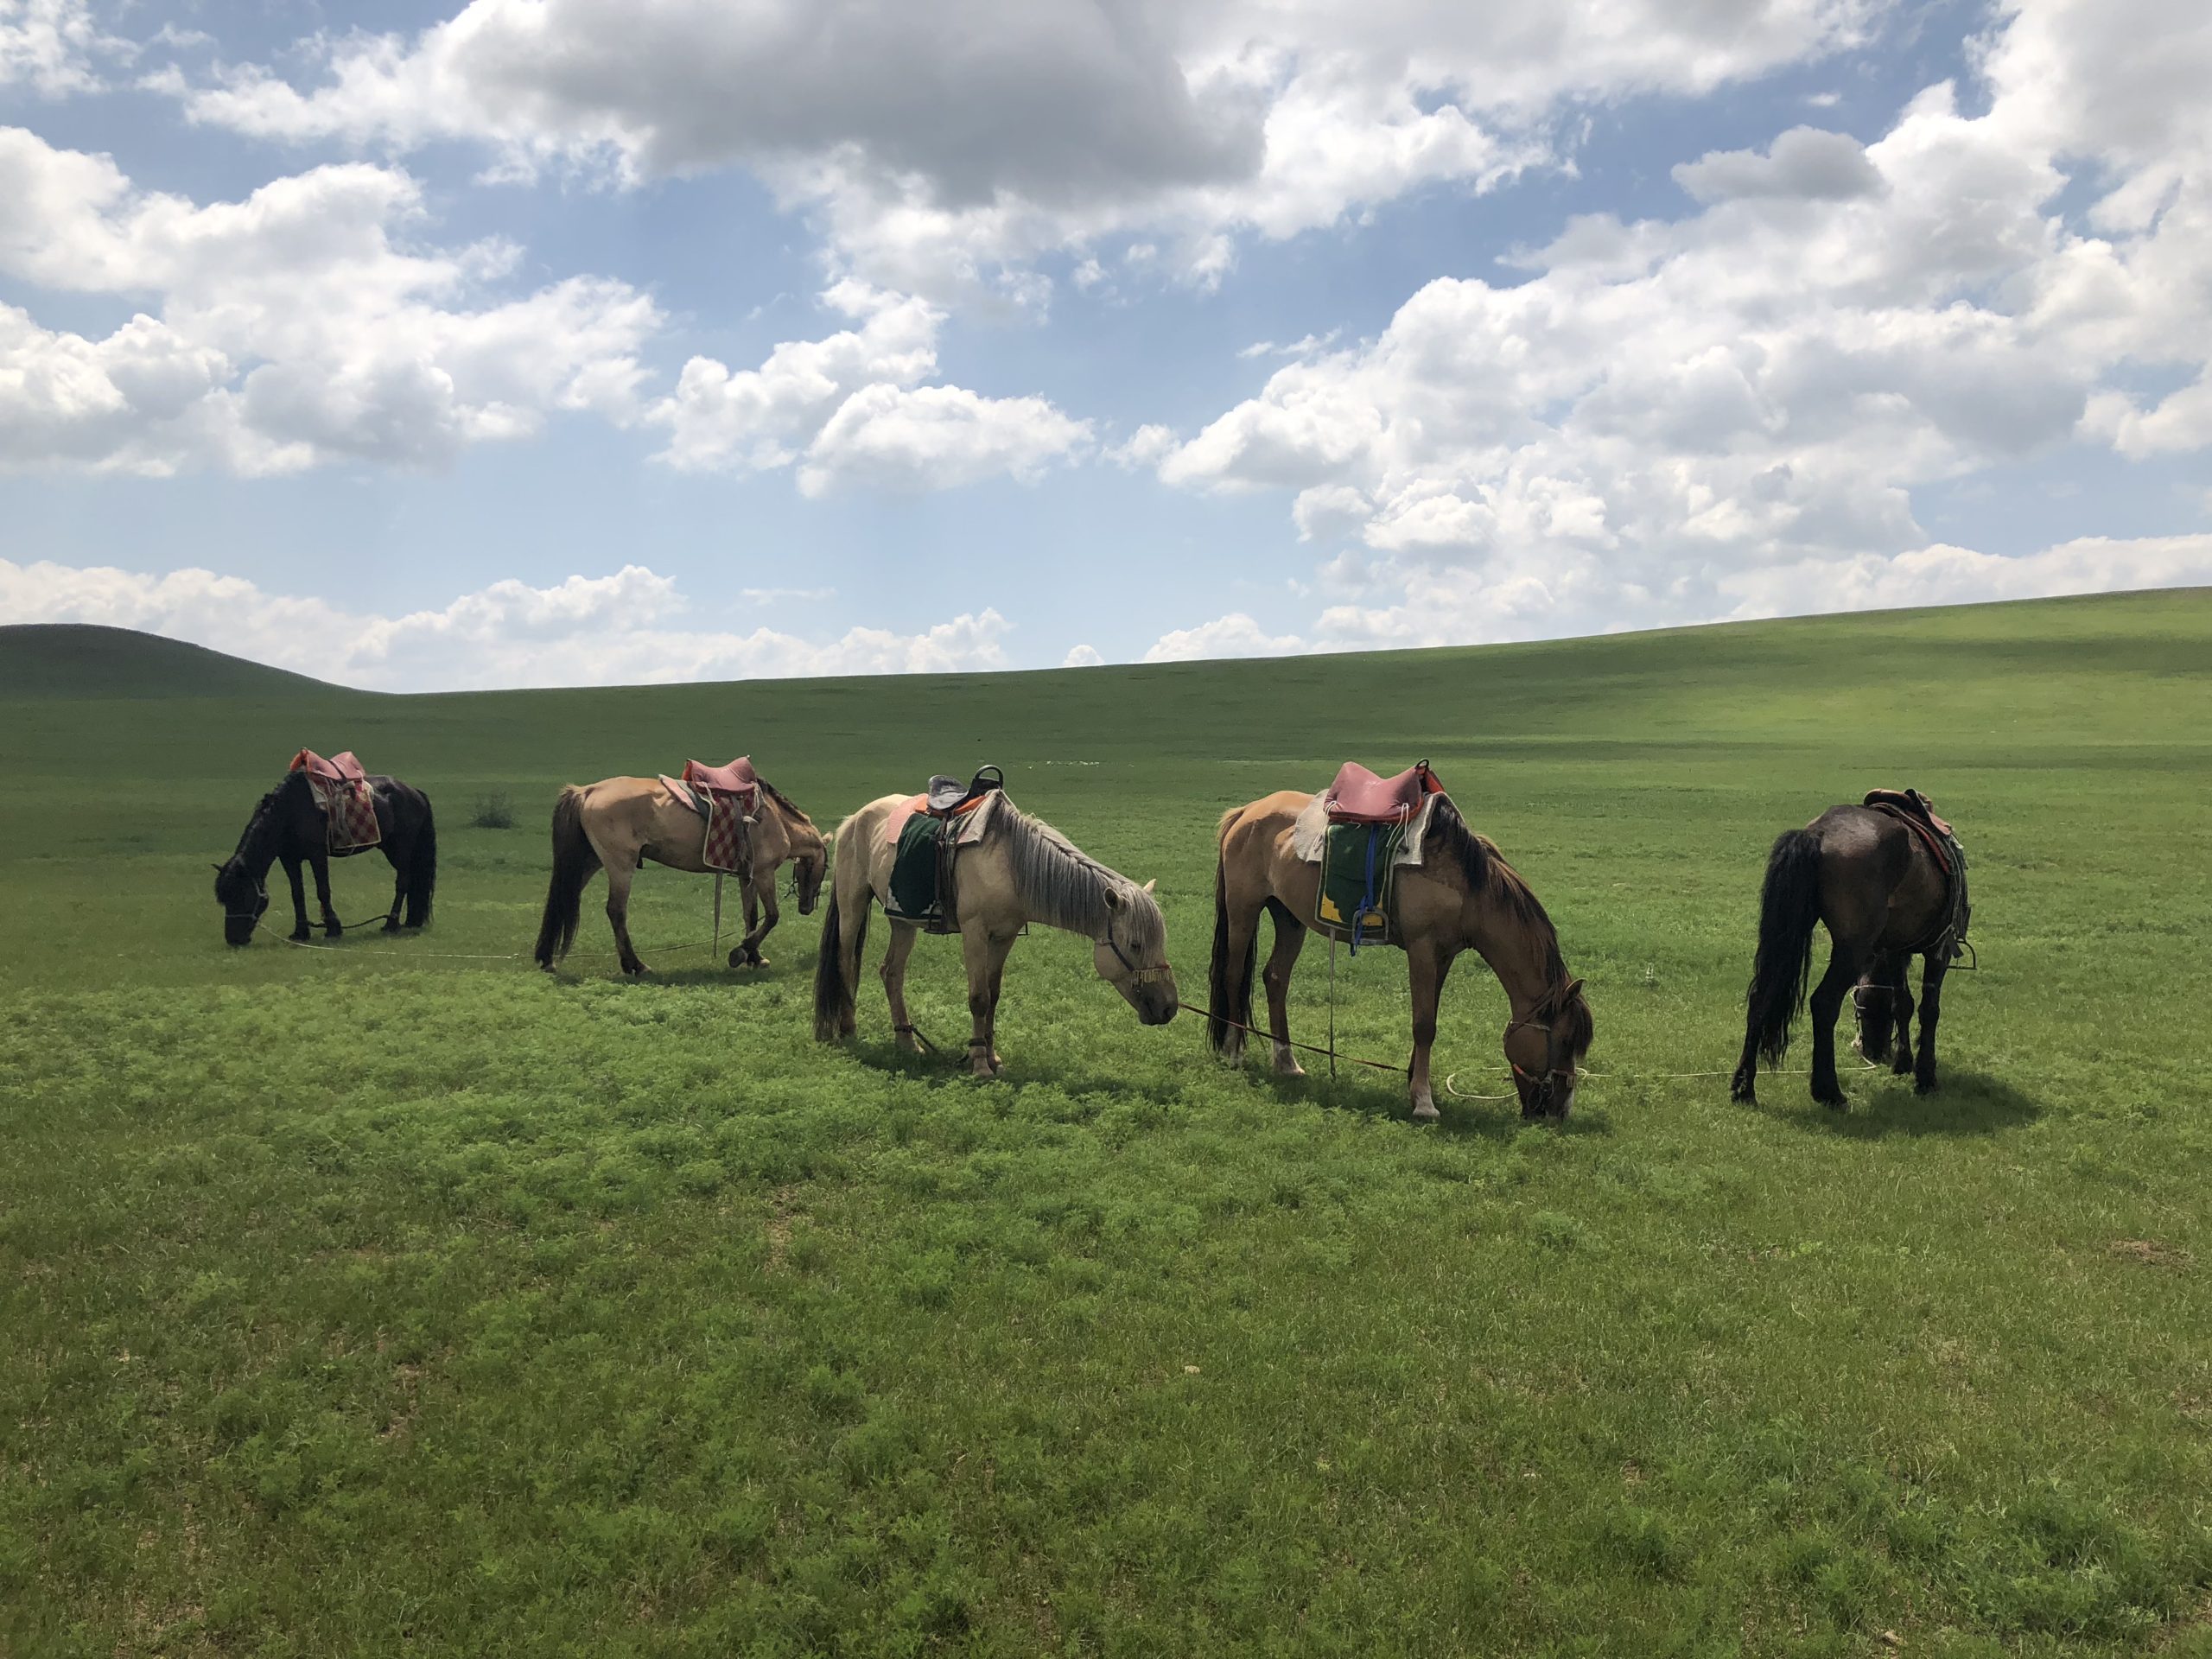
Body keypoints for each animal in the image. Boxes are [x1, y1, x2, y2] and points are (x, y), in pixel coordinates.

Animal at [213, 770, 437, 946]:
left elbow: (323, 891)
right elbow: (297, 894)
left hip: (400, 849)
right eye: (225, 898)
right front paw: (301, 932)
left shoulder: (317, 855)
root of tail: (415, 792)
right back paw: (409, 921)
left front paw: (333, 929)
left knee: (403, 882)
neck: (289, 813)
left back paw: (391, 923)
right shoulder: (289, 859)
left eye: (241, 895)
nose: (233, 939)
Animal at [533, 773, 826, 975]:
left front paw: (754, 956)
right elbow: (772, 917)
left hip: (589, 862)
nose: (806, 907)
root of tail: (588, 790)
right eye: (824, 870)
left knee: (564, 899)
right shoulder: (764, 874)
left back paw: (547, 959)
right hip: (620, 865)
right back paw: (636, 965)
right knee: (616, 911)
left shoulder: (748, 876)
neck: (777, 820)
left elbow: (751, 917)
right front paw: (740, 952)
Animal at [812, 793, 1177, 1074]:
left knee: (891, 972)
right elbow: (978, 998)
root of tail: (854, 819)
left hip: (902, 921)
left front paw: (991, 1055)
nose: (1169, 1008)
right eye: (1135, 944)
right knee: (845, 963)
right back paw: (848, 1029)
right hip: (852, 905)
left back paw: (907, 1041)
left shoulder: (1004, 937)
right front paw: (978, 1063)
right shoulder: (974, 932)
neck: (1011, 865)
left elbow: (994, 996)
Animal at [1210, 790, 1592, 1121]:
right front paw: (1424, 1102)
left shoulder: (1443, 956)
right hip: (1244, 909)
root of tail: (1246, 811)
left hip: (1289, 918)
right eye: (1563, 1041)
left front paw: (1414, 1082)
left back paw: (1286, 1062)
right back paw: (1233, 1053)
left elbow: (1429, 1018)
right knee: (1233, 974)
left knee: (1276, 979)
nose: (1561, 1110)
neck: (1467, 885)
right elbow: (1423, 1025)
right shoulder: (1422, 948)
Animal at [1730, 802, 1963, 1108]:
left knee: (1761, 996)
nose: (1874, 1053)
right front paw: (1925, 1076)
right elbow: (1929, 1010)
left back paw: (1744, 1087)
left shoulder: (1894, 949)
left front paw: (1903, 1064)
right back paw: (1828, 1091)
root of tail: (1817, 834)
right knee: (1824, 1002)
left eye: (1864, 1008)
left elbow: (1903, 1004)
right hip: (1852, 948)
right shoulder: (1939, 948)